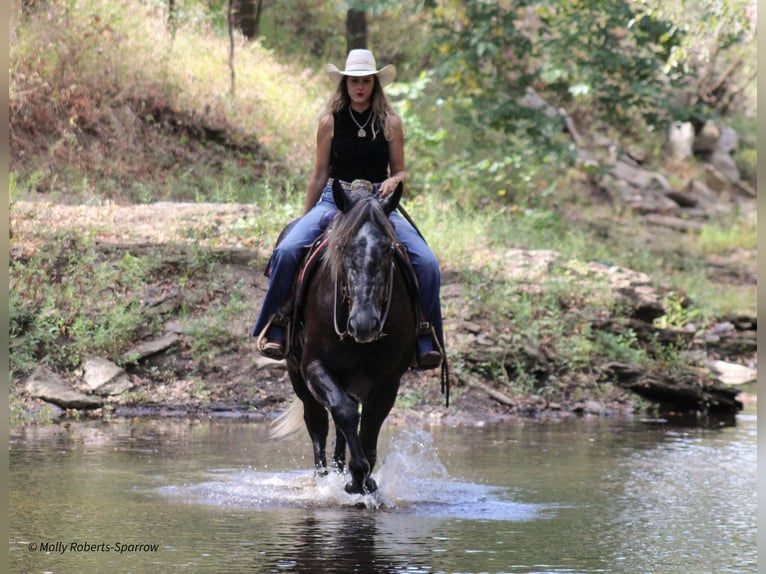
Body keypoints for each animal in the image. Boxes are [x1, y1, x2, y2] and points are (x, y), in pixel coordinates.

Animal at [270, 180, 414, 496]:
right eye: (343, 247)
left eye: (388, 249)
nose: (364, 324)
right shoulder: (313, 366)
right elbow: (345, 413)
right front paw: (357, 475)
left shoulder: (389, 380)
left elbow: (369, 425)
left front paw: (365, 479)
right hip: (296, 373)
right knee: (319, 423)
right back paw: (324, 480)